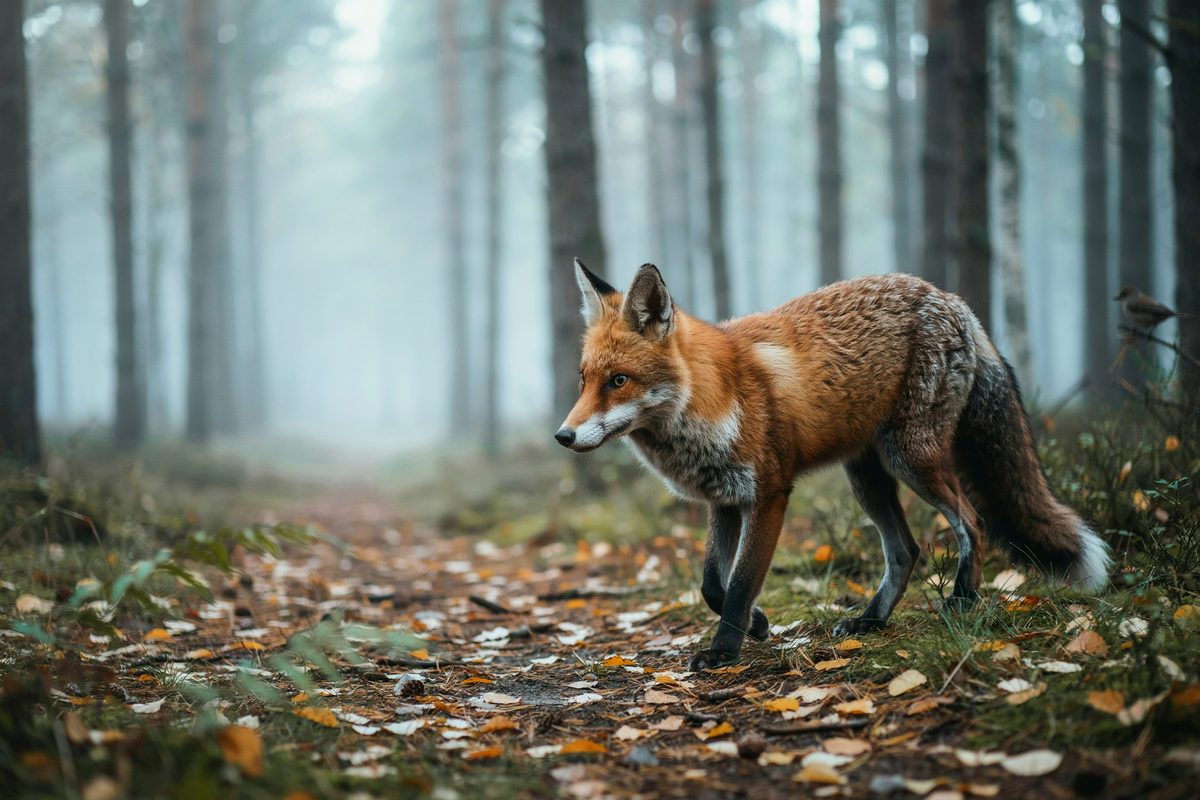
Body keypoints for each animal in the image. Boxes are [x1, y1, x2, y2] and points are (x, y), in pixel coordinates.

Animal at [555, 259, 1110, 670]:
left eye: (619, 381)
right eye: (583, 379)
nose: (563, 436)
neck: (710, 403)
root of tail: (951, 299)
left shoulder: (770, 494)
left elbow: (738, 585)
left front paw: (724, 651)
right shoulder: (725, 499)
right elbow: (712, 584)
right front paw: (757, 625)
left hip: (912, 459)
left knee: (971, 522)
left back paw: (962, 601)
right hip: (867, 477)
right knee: (905, 551)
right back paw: (870, 622)